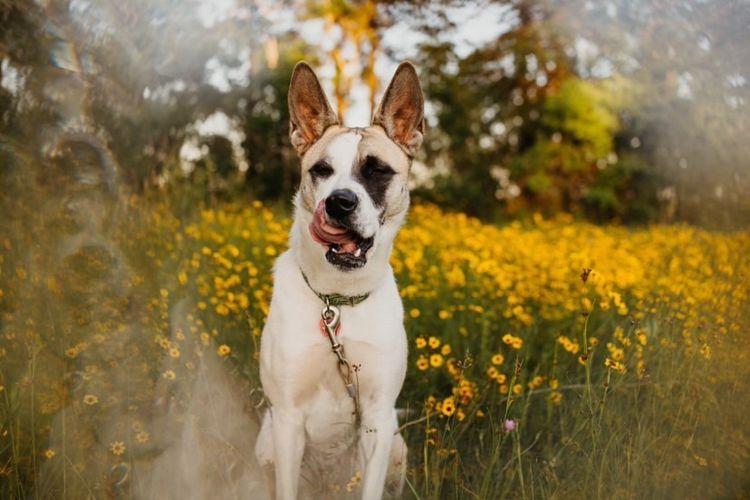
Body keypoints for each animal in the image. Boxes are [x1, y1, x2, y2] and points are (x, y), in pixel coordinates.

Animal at [256, 59, 426, 500]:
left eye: (378, 170)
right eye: (322, 170)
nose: (339, 203)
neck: (338, 300)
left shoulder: (378, 419)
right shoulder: (286, 418)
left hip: (397, 443)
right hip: (265, 442)